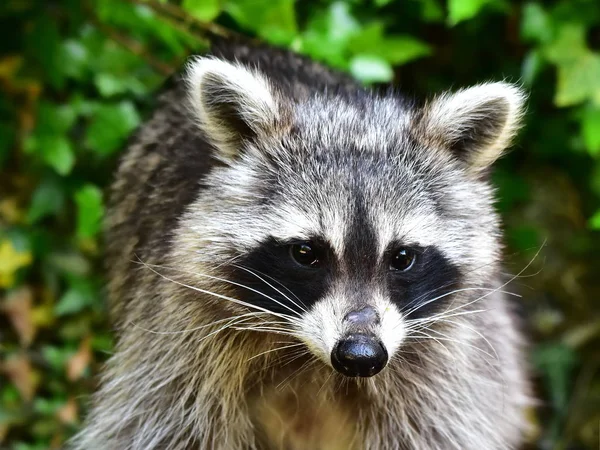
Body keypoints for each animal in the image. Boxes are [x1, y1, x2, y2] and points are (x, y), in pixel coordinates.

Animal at [71, 38, 528, 450]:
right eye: (307, 253)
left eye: (402, 257)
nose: (360, 354)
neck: (311, 360)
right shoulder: (181, 342)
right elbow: (163, 426)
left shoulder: (445, 368)